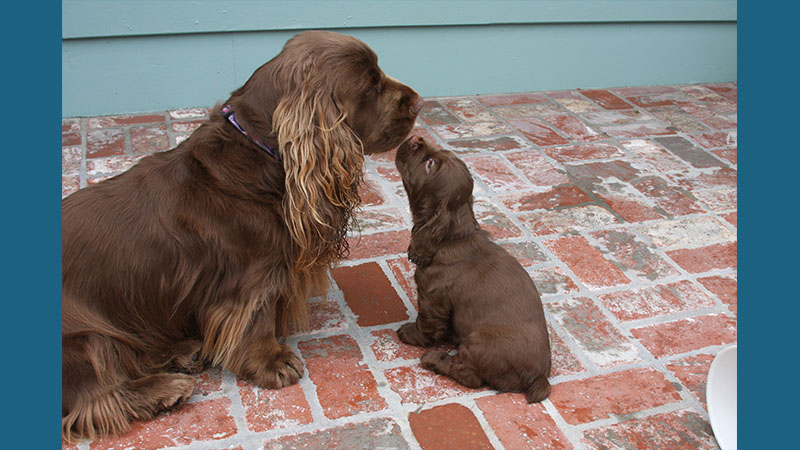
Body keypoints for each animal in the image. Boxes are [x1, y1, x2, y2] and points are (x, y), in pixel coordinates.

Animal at [62, 31, 422, 442]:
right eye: (371, 85)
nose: (419, 102)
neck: (260, 150)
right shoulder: (250, 278)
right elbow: (256, 317)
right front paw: (272, 361)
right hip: (84, 339)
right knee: (94, 398)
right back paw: (164, 389)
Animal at [394, 135, 552, 402]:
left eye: (429, 164)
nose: (416, 138)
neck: (453, 236)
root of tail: (538, 378)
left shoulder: (432, 298)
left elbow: (425, 324)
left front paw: (409, 333)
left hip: (480, 341)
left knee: (470, 376)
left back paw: (433, 359)